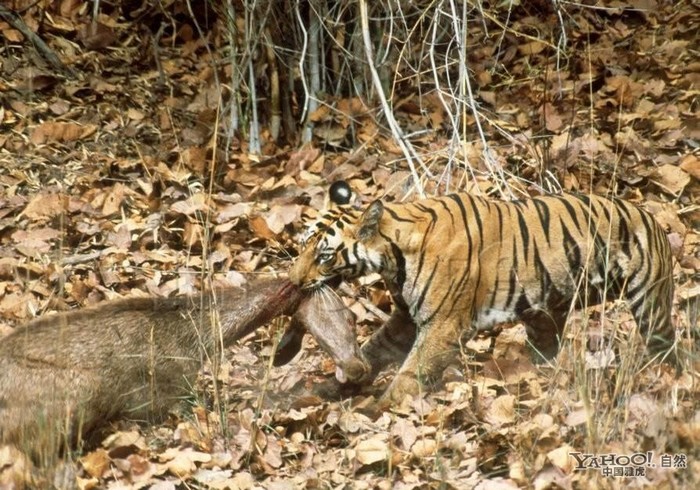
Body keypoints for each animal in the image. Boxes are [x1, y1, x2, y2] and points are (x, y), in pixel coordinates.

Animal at [290, 182, 680, 404]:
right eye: (302, 244)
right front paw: (332, 387)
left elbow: (410, 374)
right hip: (543, 316)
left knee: (668, 347)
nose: (293, 281)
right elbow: (374, 350)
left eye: (324, 256)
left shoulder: (442, 326)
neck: (393, 258)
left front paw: (380, 410)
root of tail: (653, 218)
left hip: (650, 306)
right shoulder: (404, 319)